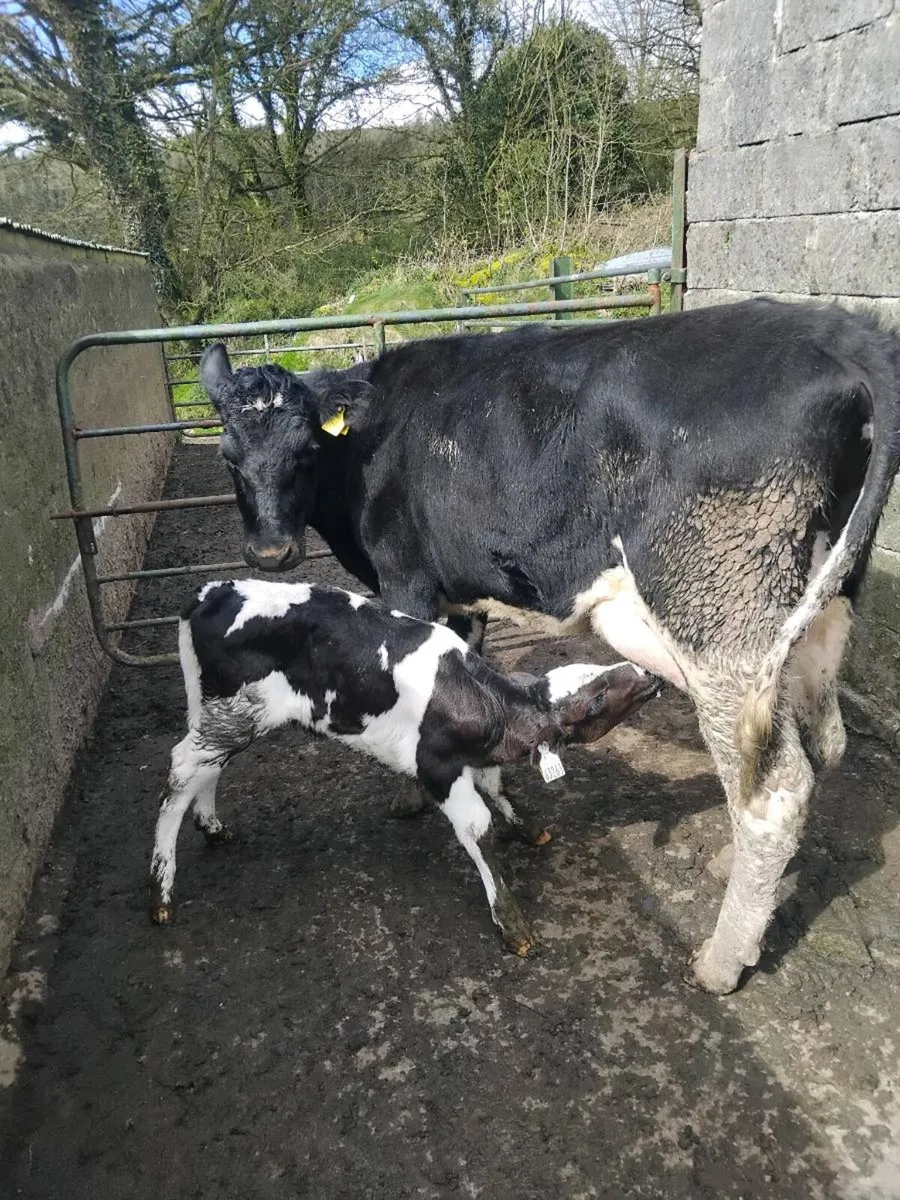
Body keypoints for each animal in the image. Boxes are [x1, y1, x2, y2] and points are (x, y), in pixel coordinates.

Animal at [149, 578, 660, 953]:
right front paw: (511, 920)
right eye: (596, 699)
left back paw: (212, 826)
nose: (649, 674)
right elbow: (477, 828)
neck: (486, 702)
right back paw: (161, 889)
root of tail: (211, 590)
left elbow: (498, 787)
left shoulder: (474, 761)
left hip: (220, 712)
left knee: (208, 767)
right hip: (236, 711)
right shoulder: (437, 768)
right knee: (182, 769)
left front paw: (528, 827)